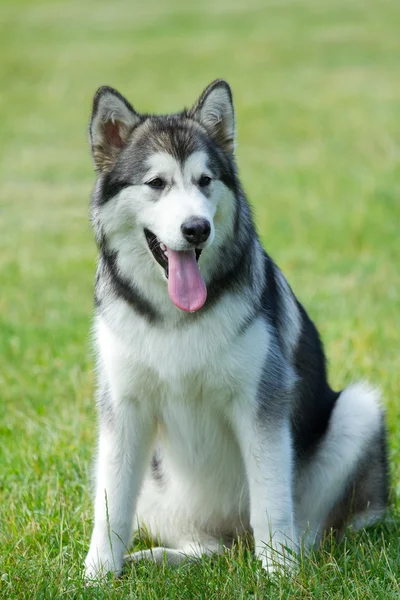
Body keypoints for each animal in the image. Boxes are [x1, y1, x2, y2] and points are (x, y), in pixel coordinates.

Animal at [83, 78, 388, 576]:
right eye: (156, 183)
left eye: (205, 181)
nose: (196, 229)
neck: (177, 317)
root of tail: (234, 539)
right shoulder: (123, 409)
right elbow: (110, 508)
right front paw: (96, 575)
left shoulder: (260, 405)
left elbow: (270, 502)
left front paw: (280, 575)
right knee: (206, 544)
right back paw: (162, 557)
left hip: (357, 410)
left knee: (307, 531)